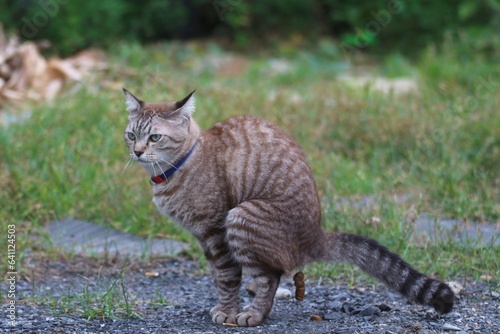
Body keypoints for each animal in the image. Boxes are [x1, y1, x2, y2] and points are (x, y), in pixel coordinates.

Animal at [123, 88, 456, 326]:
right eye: (131, 135)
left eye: (155, 137)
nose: (137, 151)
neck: (180, 166)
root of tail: (316, 236)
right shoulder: (204, 238)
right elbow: (219, 277)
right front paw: (223, 306)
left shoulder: (215, 230)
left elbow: (227, 277)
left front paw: (228, 312)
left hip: (241, 217)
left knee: (269, 277)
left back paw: (253, 315)